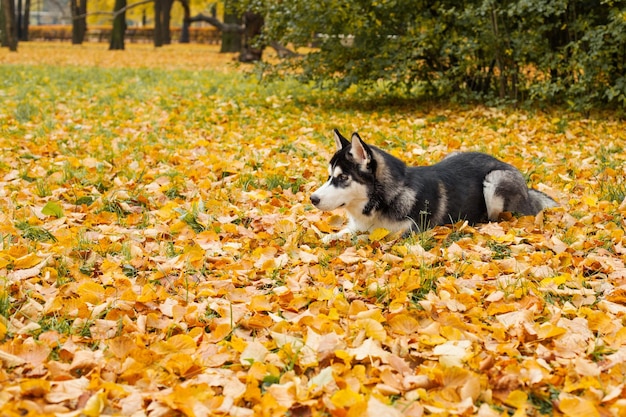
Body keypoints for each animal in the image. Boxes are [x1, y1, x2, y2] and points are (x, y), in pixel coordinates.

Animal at [308, 128, 556, 242]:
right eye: (329, 176)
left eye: (343, 178)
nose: (312, 199)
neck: (385, 199)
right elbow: (336, 235)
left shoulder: (407, 233)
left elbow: (368, 237)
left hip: (494, 182)